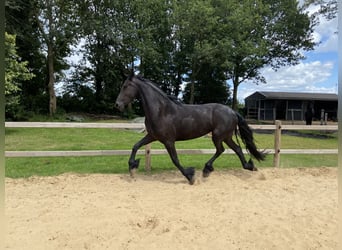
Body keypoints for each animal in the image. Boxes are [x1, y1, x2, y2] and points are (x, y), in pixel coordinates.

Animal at [115, 73, 264, 184]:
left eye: (125, 86)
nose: (117, 105)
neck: (161, 111)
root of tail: (232, 111)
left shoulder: (168, 141)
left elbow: (175, 160)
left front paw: (190, 176)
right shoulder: (152, 136)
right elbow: (135, 146)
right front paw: (132, 167)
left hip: (218, 136)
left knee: (221, 150)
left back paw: (207, 170)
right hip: (225, 136)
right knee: (236, 149)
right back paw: (249, 166)